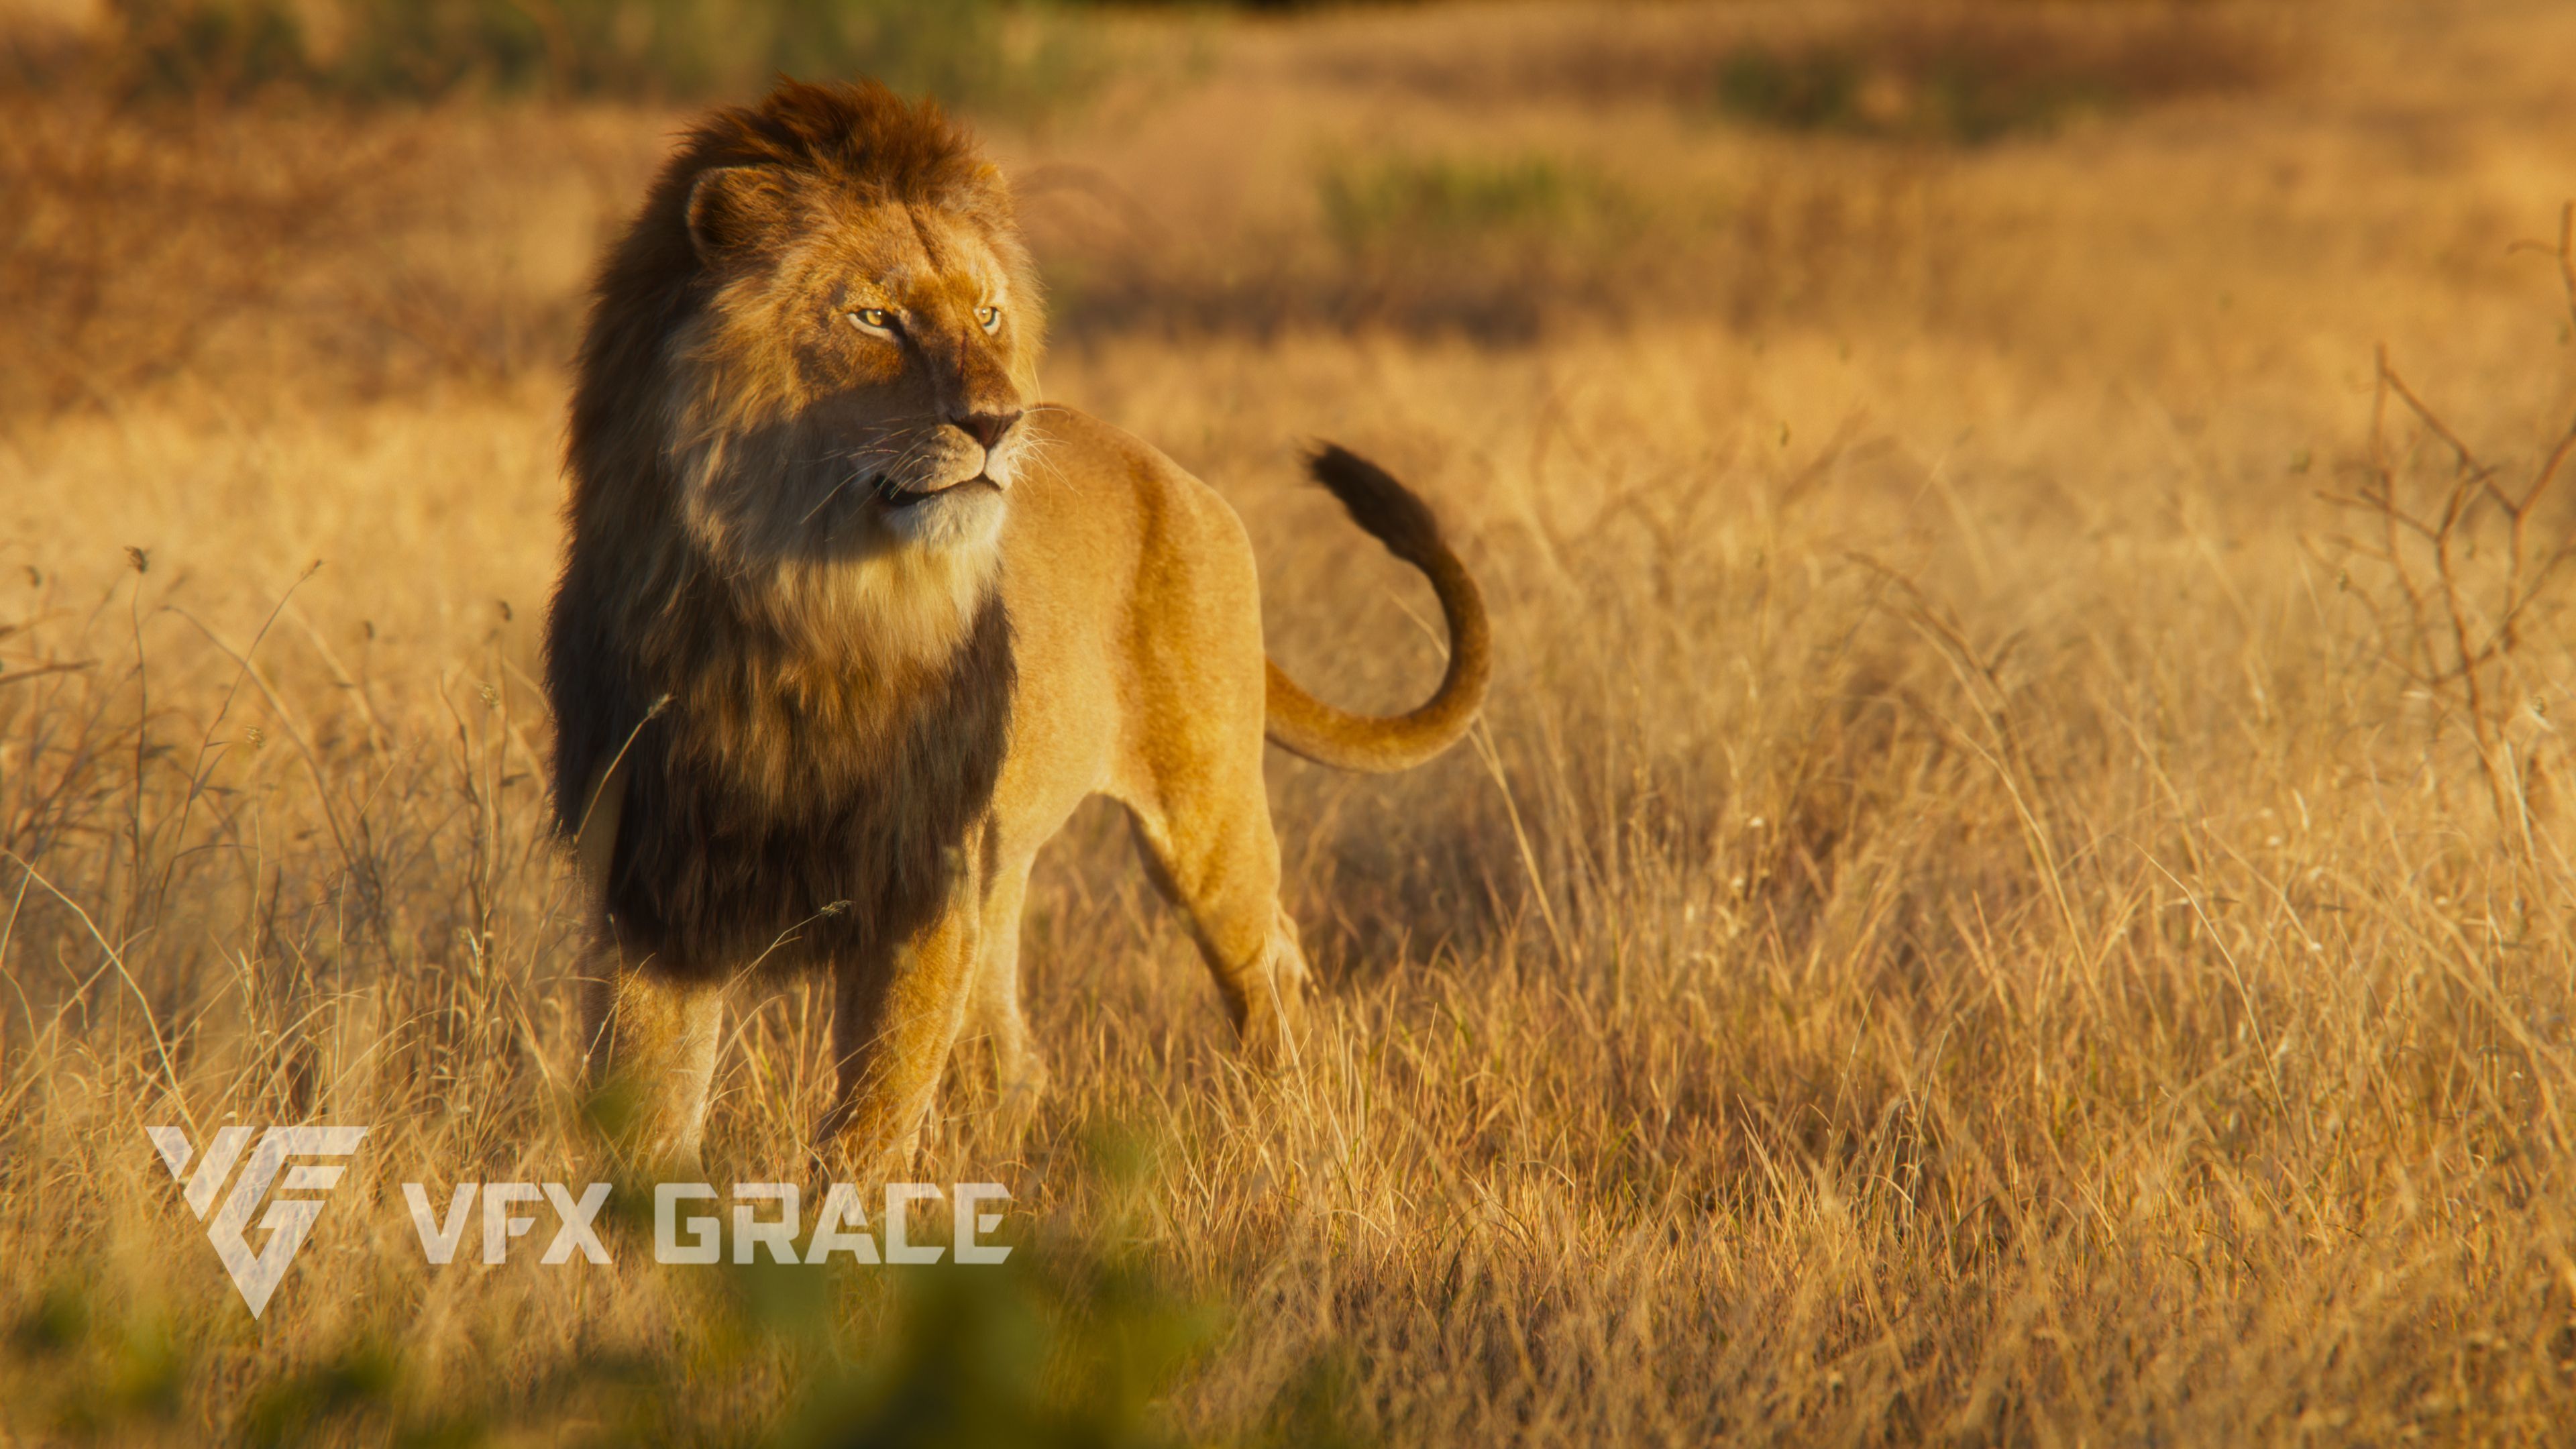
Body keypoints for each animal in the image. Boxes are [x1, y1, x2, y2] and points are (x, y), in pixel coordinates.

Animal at [545, 79, 1488, 1175]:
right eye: (877, 318)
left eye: (988, 313)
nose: (999, 424)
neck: (801, 613)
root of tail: (1176, 475)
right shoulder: (656, 893)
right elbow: (648, 1118)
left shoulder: (921, 887)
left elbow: (869, 1127)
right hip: (1006, 870)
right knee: (1018, 1056)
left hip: (1206, 818)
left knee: (1271, 967)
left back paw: (1289, 1136)